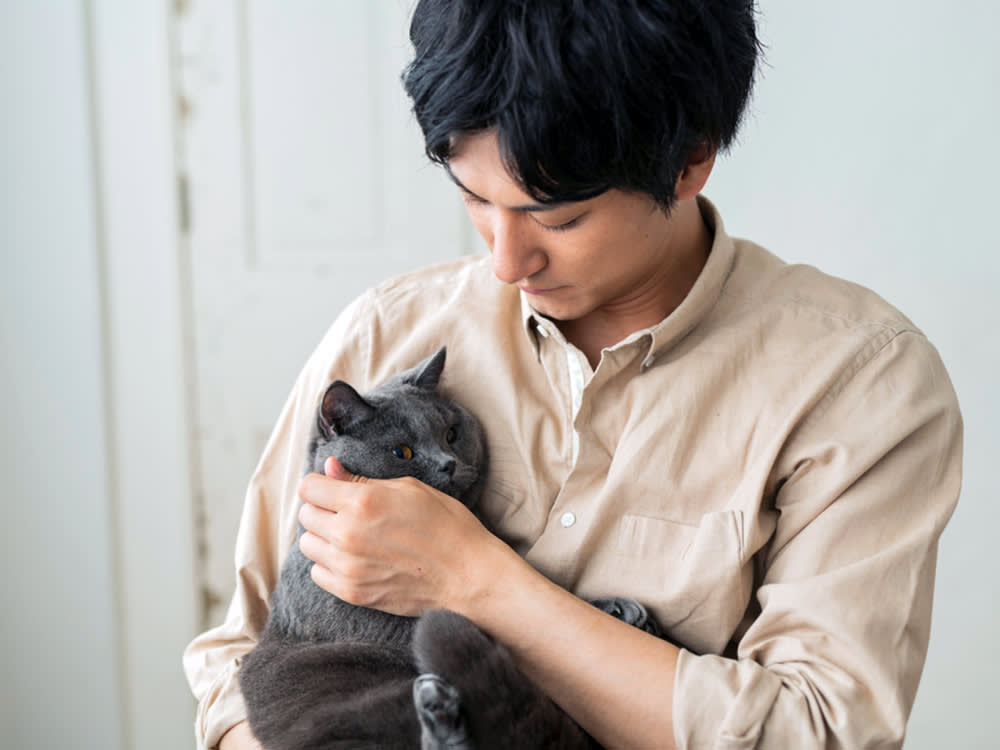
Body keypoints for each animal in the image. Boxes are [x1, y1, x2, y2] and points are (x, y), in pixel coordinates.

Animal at [233, 350, 656, 750]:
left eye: (451, 434)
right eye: (401, 452)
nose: (448, 463)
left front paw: (617, 608)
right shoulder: (360, 612)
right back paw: (441, 715)